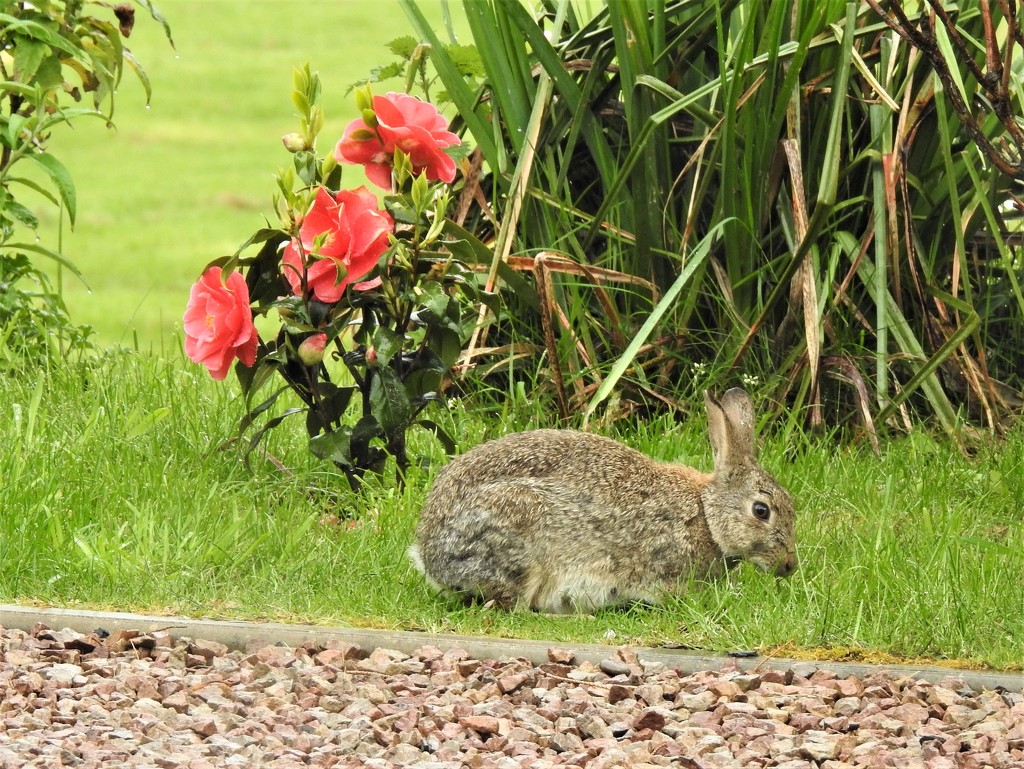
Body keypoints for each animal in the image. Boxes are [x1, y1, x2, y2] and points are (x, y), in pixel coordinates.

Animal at [403, 387, 794, 618]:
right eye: (761, 511)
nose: (789, 565)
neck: (706, 515)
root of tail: (430, 557)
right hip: (517, 540)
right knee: (513, 606)